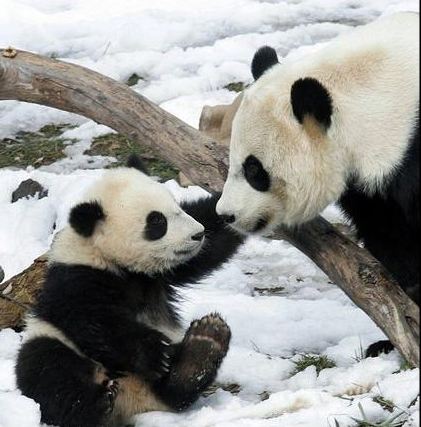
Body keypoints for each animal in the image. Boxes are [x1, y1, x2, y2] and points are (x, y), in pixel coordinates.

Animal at [15, 157, 243, 427]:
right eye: (157, 221)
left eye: (176, 206)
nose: (198, 234)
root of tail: (133, 400)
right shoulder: (75, 277)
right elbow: (94, 321)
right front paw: (155, 353)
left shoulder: (164, 274)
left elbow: (214, 238)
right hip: (50, 341)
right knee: (48, 371)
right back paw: (98, 403)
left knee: (174, 391)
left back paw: (204, 346)